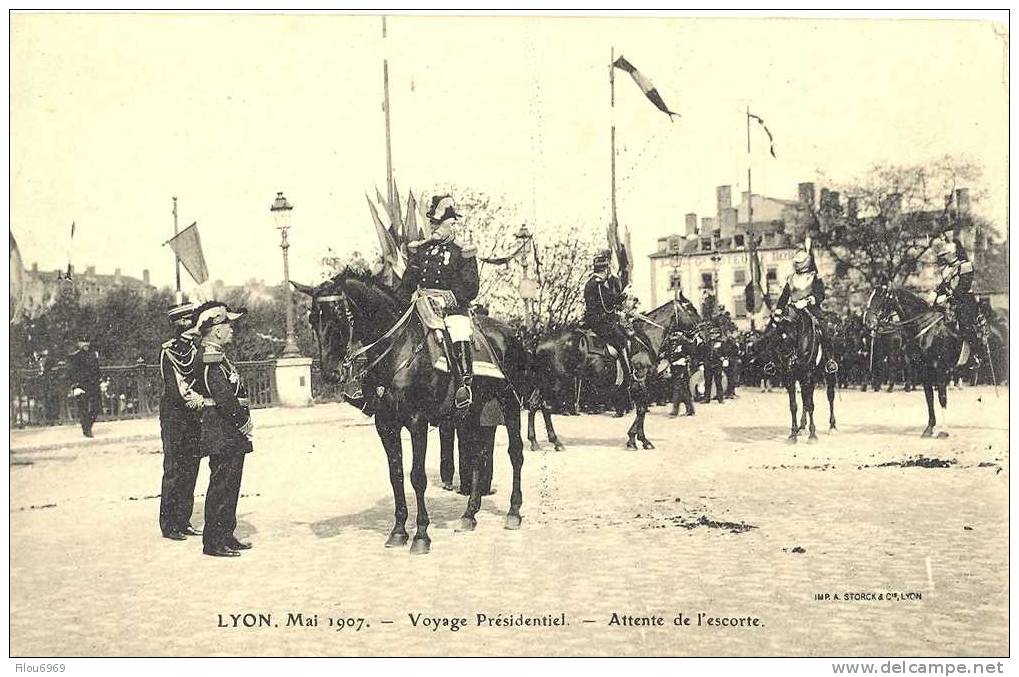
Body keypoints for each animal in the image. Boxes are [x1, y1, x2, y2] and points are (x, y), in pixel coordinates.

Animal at [293, 269, 525, 554]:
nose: (330, 373)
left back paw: (513, 512)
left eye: (339, 314)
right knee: (478, 458)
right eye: (313, 319)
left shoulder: (417, 422)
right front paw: (398, 531)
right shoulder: (385, 425)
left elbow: (417, 477)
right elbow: (396, 476)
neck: (396, 348)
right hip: (473, 413)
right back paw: (469, 515)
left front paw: (421, 535)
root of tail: (508, 332)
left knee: (515, 453)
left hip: (510, 404)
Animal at [749, 307, 835, 444]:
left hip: (827, 374)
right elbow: (794, 406)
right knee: (805, 400)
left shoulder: (807, 377)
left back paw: (832, 426)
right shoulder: (790, 379)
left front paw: (812, 435)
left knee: (830, 396)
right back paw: (802, 427)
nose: (787, 361)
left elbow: (811, 405)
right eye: (777, 335)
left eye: (792, 335)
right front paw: (793, 434)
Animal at [868, 285, 961, 438]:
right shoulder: (925, 369)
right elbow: (929, 398)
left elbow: (942, 397)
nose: (868, 322)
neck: (927, 331)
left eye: (881, 297)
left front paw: (944, 430)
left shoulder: (939, 369)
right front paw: (929, 428)